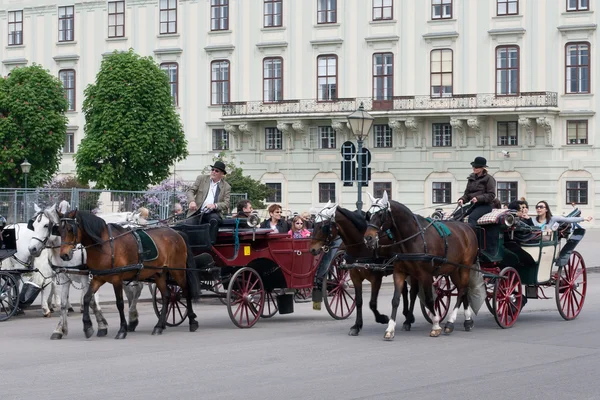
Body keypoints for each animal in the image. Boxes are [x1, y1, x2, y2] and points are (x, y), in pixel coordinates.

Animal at [28, 206, 144, 340]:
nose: (32, 249)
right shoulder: (64, 278)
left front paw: (100, 326)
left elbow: (92, 301)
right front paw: (60, 329)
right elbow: (63, 304)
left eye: (46, 225)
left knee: (137, 289)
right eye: (34, 225)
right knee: (132, 291)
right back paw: (132, 319)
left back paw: (132, 316)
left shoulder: (85, 277)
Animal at [57, 211, 200, 340]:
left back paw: (192, 321)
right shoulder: (98, 278)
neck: (104, 245)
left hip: (178, 271)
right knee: (166, 296)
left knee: (186, 291)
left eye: (70, 229)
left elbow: (120, 303)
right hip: (159, 273)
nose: (64, 255)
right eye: (59, 230)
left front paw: (122, 330)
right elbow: (87, 298)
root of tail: (176, 233)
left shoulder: (116, 279)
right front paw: (87, 326)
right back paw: (159, 326)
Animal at [310, 205, 418, 336]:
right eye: (314, 224)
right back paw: (406, 314)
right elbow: (359, 302)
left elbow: (372, 303)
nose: (312, 250)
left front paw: (382, 318)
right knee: (404, 291)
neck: (361, 246)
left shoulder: (376, 278)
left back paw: (408, 319)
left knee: (413, 293)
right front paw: (357, 326)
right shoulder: (355, 276)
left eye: (324, 226)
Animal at [360, 192, 478, 340]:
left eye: (381, 214)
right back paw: (467, 321)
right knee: (463, 289)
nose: (368, 238)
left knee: (462, 290)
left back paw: (450, 322)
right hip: (453, 269)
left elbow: (429, 299)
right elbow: (395, 300)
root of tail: (467, 227)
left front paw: (436, 325)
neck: (412, 238)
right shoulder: (399, 273)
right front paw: (390, 329)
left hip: (465, 266)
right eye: (369, 214)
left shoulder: (425, 275)